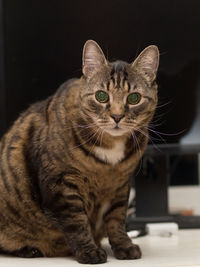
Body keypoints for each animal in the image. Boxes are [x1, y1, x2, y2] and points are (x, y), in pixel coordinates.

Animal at [0, 40, 159, 264]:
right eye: (101, 96)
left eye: (134, 98)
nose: (117, 116)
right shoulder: (62, 184)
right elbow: (76, 222)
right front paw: (89, 251)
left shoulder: (120, 185)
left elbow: (117, 219)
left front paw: (124, 246)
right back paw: (29, 250)